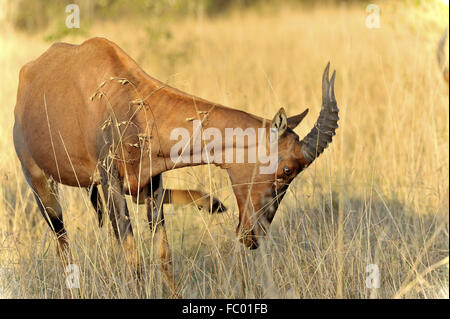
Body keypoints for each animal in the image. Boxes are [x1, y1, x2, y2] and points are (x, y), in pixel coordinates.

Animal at [12, 38, 340, 298]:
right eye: (287, 170)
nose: (252, 237)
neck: (126, 98)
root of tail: (26, 76)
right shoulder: (110, 183)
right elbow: (134, 259)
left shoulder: (153, 181)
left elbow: (164, 256)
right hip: (42, 185)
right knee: (62, 241)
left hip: (135, 190)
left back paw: (213, 203)